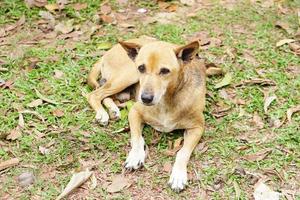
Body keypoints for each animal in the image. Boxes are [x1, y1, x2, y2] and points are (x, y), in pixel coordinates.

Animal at [87, 36, 206, 191]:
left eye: (165, 71)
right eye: (141, 68)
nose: (145, 98)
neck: (166, 101)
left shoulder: (197, 127)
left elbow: (183, 152)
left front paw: (178, 175)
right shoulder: (134, 112)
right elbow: (137, 138)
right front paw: (135, 156)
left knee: (103, 94)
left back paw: (112, 110)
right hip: (127, 76)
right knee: (94, 94)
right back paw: (102, 113)